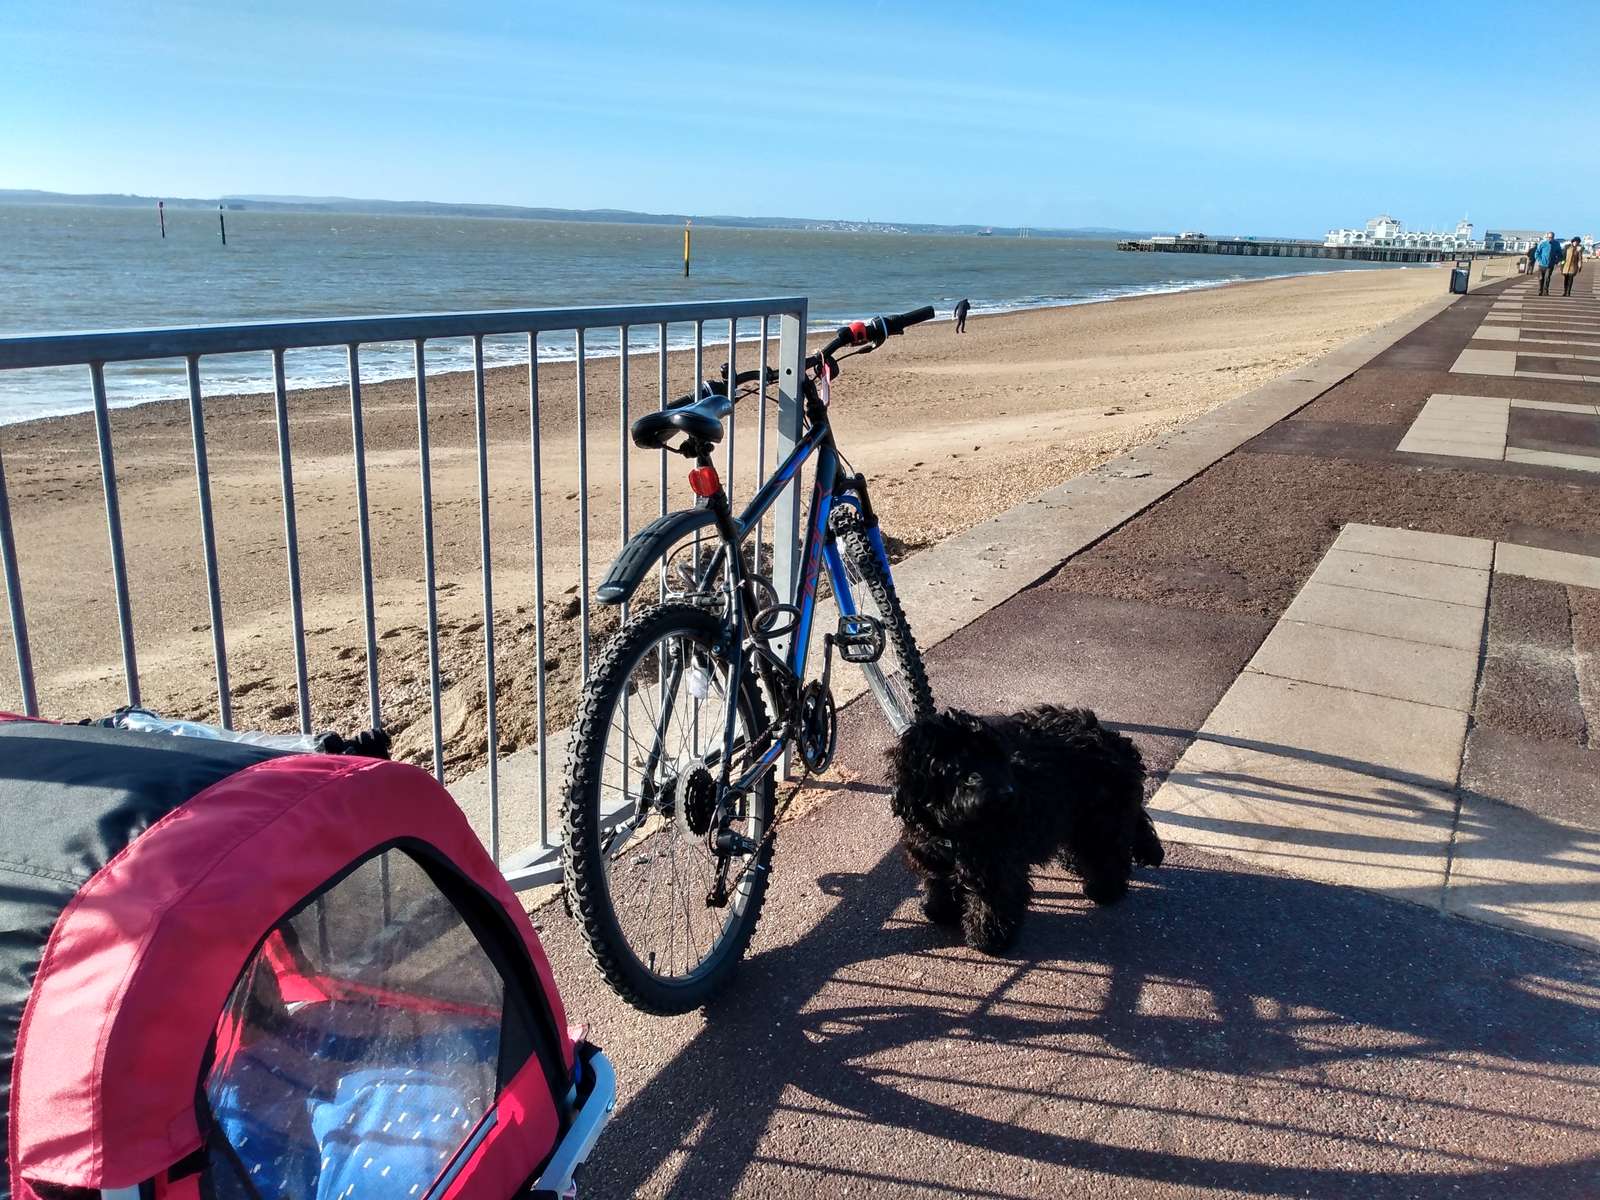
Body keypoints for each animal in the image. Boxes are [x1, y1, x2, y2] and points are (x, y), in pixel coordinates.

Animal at [889, 710, 1164, 953]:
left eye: (995, 757)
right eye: (960, 763)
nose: (1007, 793)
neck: (951, 826)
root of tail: (1113, 740)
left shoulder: (997, 864)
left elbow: (994, 901)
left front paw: (988, 938)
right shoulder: (932, 854)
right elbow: (939, 881)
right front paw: (939, 909)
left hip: (1101, 818)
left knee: (1109, 854)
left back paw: (1105, 890)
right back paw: (1073, 864)